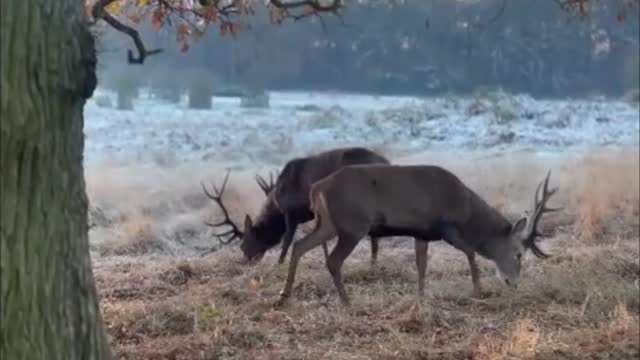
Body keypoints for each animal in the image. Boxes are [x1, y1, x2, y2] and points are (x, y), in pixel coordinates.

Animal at [202, 147, 392, 268]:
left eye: (243, 245)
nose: (244, 262)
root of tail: (388, 163)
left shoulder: (290, 211)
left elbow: (287, 239)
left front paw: (279, 263)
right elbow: (320, 239)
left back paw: (373, 262)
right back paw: (373, 262)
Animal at [278, 164, 556, 306]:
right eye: (518, 254)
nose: (513, 283)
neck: (466, 211)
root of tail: (317, 188)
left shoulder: (422, 232)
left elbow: (421, 264)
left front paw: (421, 297)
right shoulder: (446, 227)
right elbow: (469, 251)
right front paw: (478, 291)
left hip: (330, 224)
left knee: (299, 245)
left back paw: (284, 295)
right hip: (353, 224)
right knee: (333, 260)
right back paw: (347, 301)